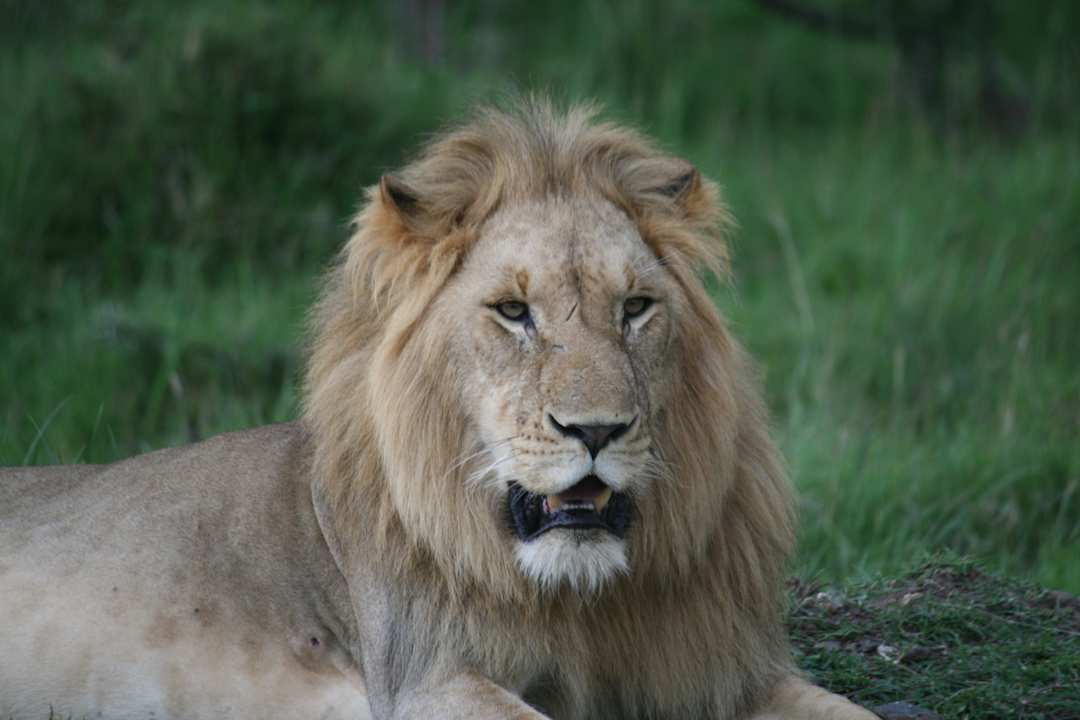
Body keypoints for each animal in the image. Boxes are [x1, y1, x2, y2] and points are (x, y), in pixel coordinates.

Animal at [0, 98, 876, 719]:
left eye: (635, 308)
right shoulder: (422, 678)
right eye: (514, 312)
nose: (596, 431)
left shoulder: (725, 672)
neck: (584, 604)